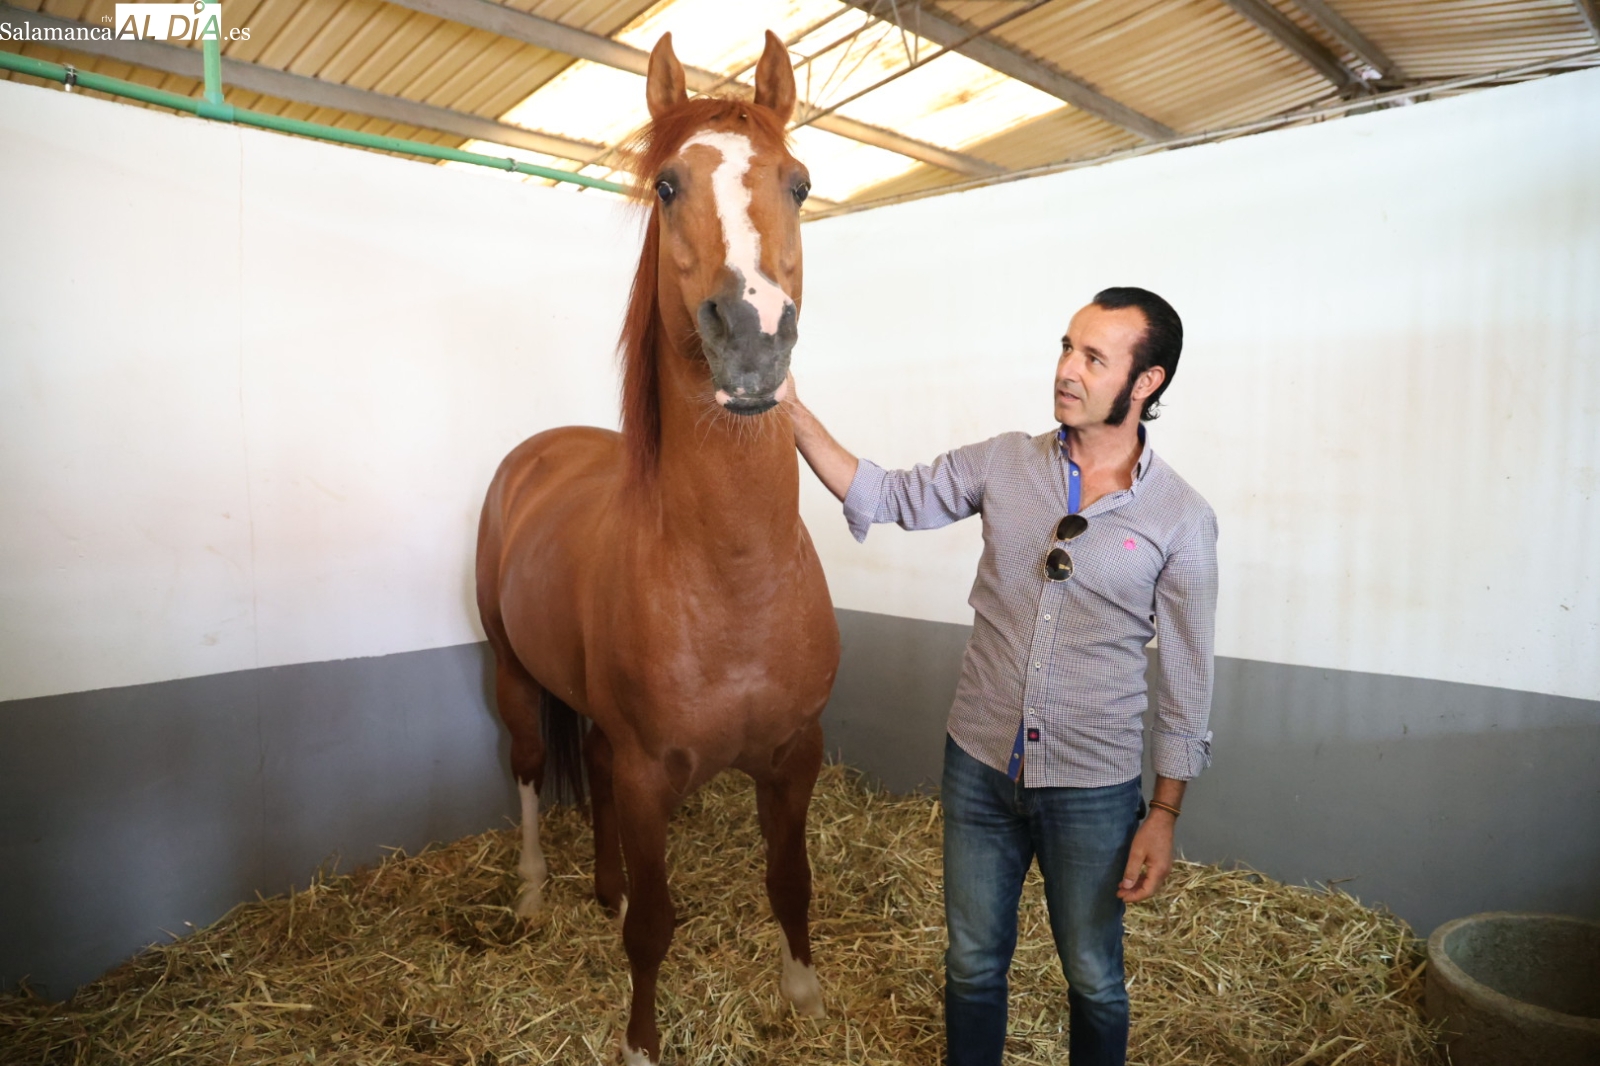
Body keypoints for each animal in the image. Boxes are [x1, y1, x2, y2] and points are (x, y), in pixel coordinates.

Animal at [474, 31, 840, 1066]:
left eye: (799, 183)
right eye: (670, 186)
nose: (754, 338)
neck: (731, 575)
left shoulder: (795, 752)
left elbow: (790, 880)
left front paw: (802, 994)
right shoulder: (647, 775)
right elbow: (654, 929)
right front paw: (639, 1041)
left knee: (586, 768)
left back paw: (601, 886)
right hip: (512, 672)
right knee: (528, 767)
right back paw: (535, 894)